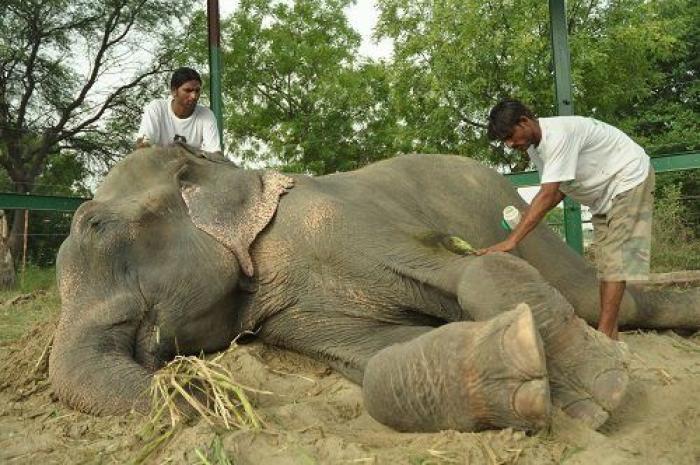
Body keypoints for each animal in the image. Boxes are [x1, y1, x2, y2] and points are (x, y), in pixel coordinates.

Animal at [49, 145, 700, 433]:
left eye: (96, 226)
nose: (199, 396)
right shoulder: (291, 313)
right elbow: (382, 359)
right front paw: (520, 374)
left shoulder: (335, 221)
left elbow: (469, 270)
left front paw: (600, 395)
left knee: (604, 296)